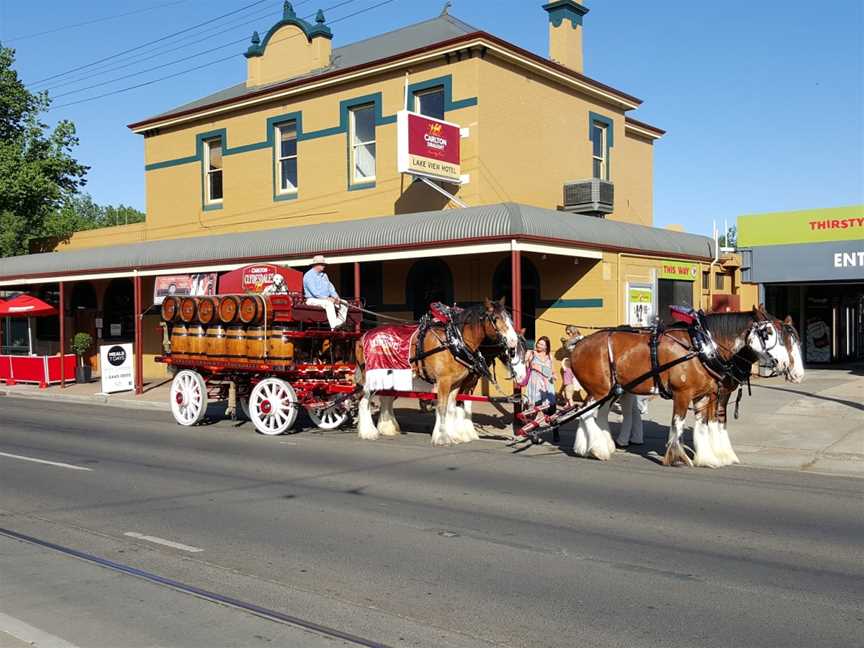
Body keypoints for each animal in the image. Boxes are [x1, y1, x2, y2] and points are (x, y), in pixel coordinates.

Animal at [352, 298, 528, 446]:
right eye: (496, 318)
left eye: (510, 319)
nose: (512, 340)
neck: (455, 342)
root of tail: (363, 337)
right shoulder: (445, 381)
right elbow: (444, 407)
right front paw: (444, 437)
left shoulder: (459, 383)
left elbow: (453, 407)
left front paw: (455, 435)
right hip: (374, 377)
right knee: (364, 401)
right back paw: (368, 432)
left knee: (384, 399)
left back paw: (387, 427)